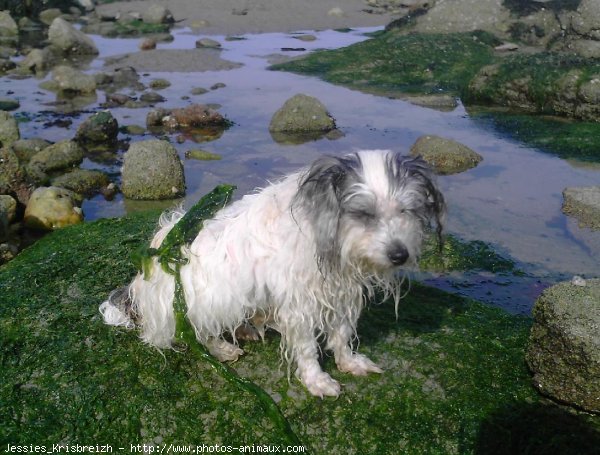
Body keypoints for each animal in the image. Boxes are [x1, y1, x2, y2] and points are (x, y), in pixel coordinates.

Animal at [99, 151, 446, 400]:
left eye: (405, 210)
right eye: (364, 214)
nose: (400, 255)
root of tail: (140, 287)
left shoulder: (340, 292)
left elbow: (342, 335)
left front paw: (349, 362)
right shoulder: (300, 304)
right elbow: (306, 349)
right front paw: (317, 380)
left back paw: (247, 328)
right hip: (209, 298)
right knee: (197, 332)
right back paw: (222, 347)